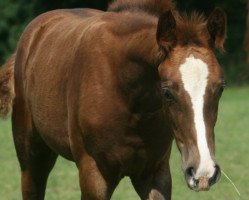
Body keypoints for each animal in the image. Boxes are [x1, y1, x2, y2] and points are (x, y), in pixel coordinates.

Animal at [0, 0, 226, 199]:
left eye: (221, 88)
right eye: (167, 92)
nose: (203, 173)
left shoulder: (154, 173)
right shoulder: (94, 175)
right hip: (31, 158)